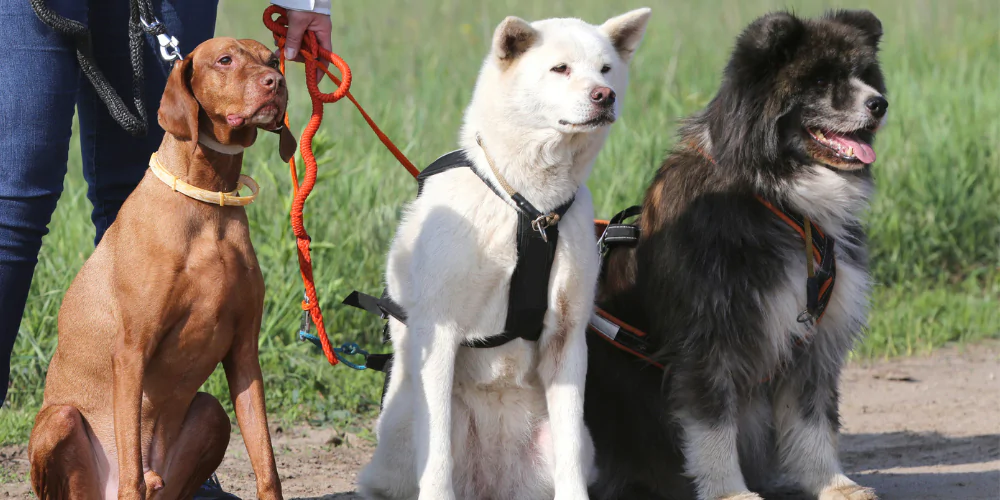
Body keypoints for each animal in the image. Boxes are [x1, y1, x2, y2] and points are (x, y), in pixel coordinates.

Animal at [25, 39, 294, 500]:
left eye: (273, 59)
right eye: (225, 60)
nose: (275, 83)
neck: (207, 202)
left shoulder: (244, 353)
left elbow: (266, 464)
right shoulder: (131, 352)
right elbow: (132, 470)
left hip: (212, 413)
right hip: (59, 420)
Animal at [356, 7, 652, 500]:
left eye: (606, 69)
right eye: (560, 68)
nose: (604, 96)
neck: (530, 208)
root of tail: (491, 485)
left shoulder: (566, 338)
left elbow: (570, 451)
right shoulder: (439, 333)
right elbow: (436, 456)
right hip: (401, 437)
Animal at [584, 8, 892, 500]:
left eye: (864, 75)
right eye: (820, 79)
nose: (879, 103)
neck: (775, 196)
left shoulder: (813, 342)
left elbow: (813, 422)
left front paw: (830, 482)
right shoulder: (710, 338)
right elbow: (712, 426)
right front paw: (729, 490)